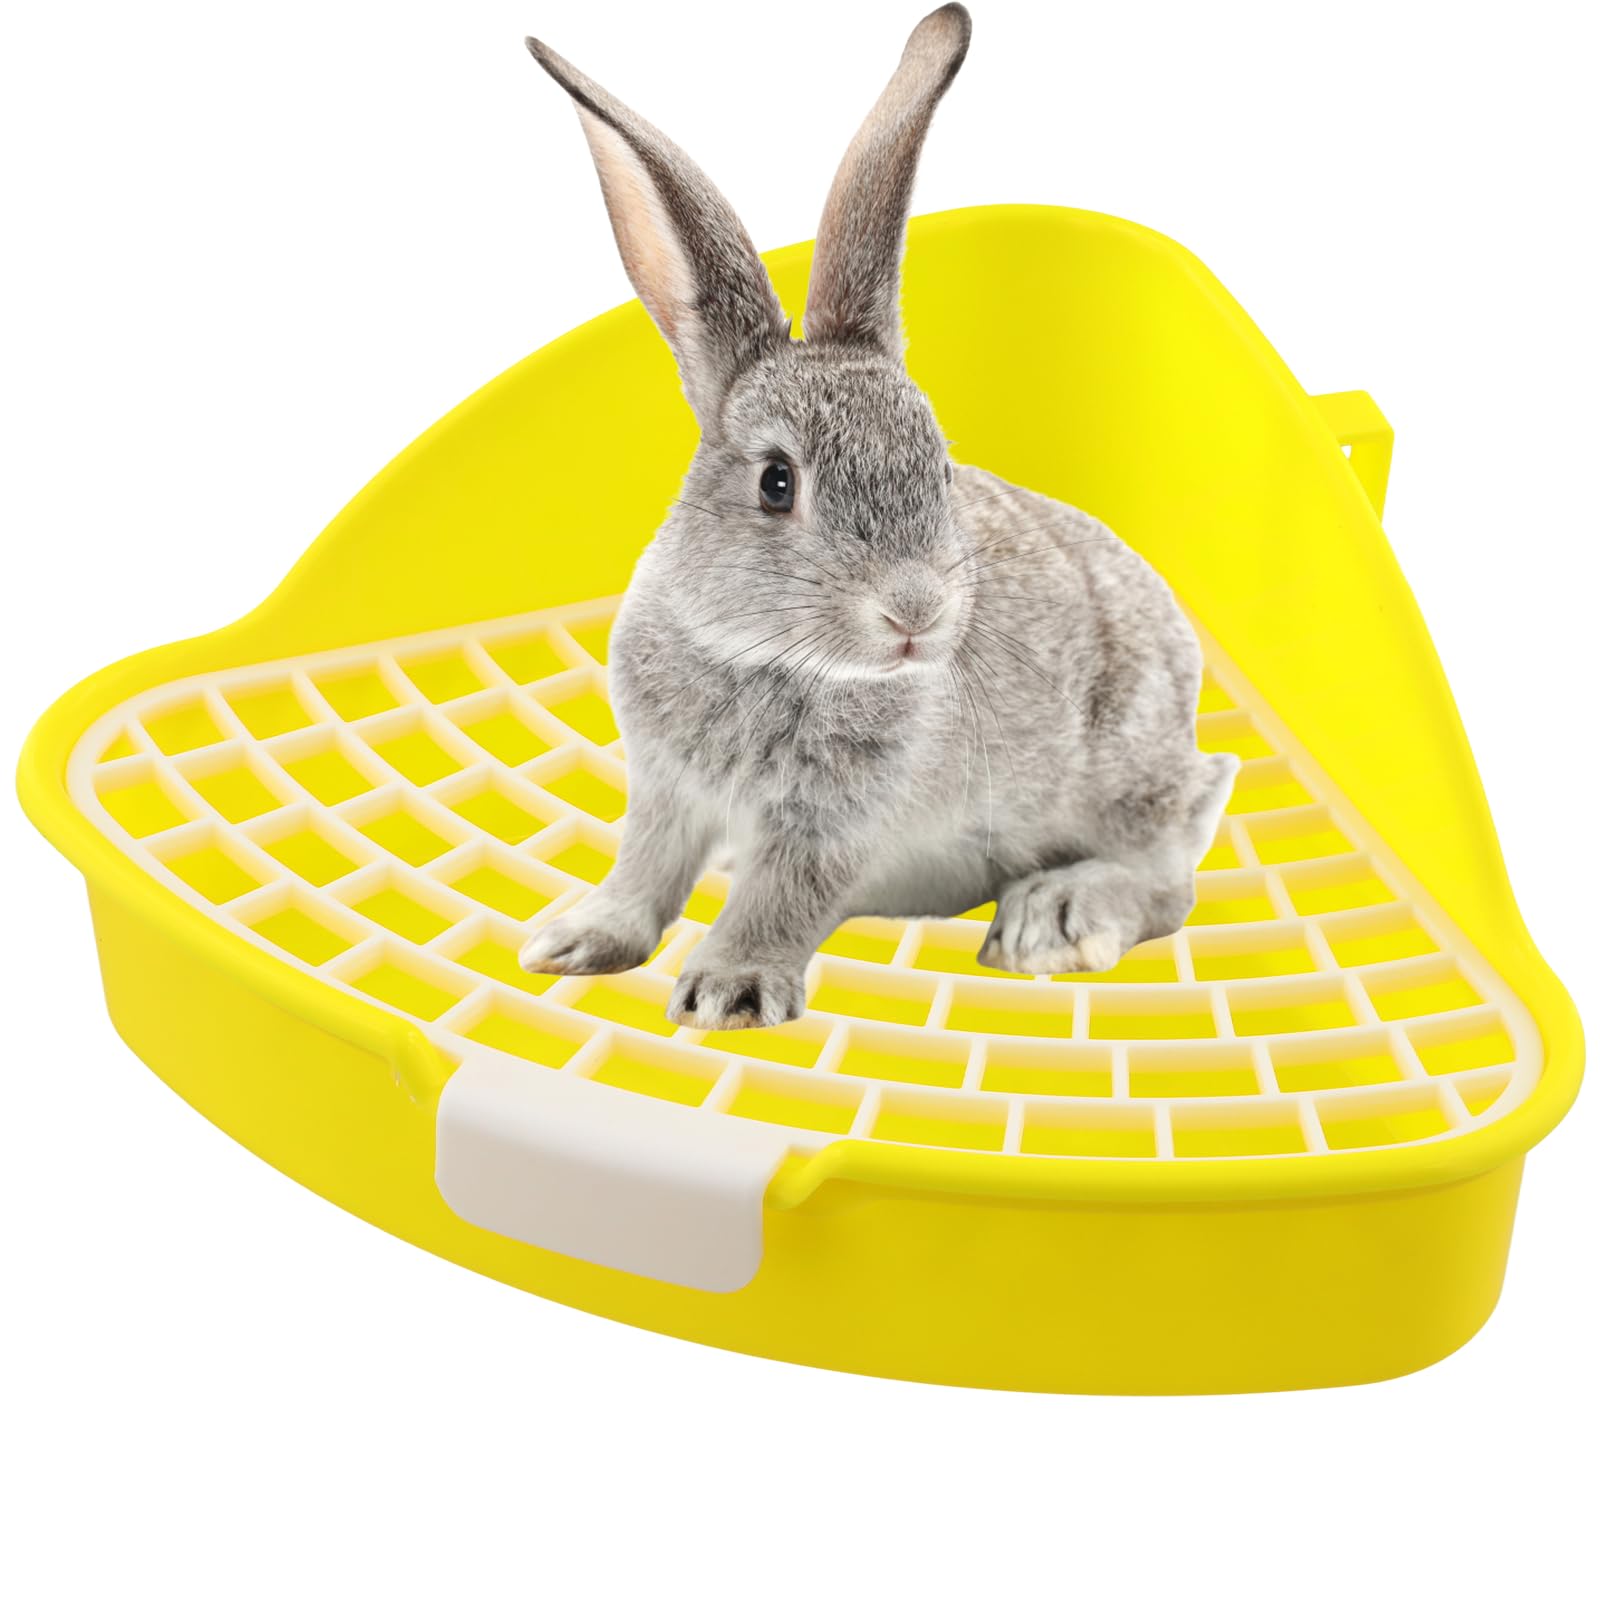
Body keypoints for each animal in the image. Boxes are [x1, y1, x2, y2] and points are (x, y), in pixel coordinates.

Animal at [517, 3, 1239, 1030]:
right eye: (778, 483)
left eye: (937, 466)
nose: (917, 613)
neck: (768, 657)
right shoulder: (665, 792)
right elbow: (644, 871)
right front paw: (578, 941)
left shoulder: (830, 827)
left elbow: (777, 898)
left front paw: (729, 991)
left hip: (1124, 778)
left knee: (1169, 876)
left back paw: (1051, 921)